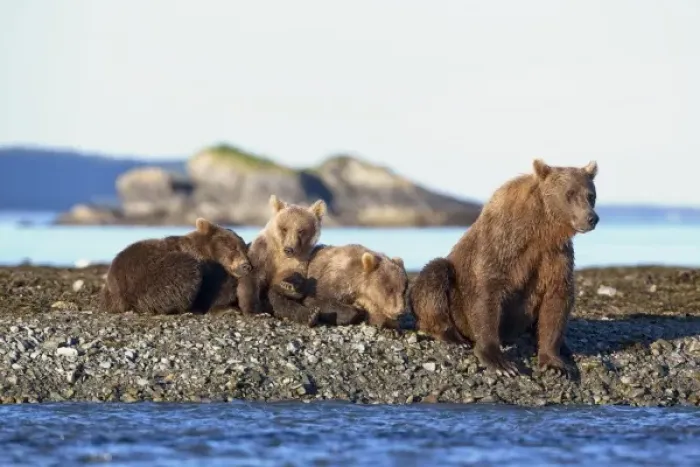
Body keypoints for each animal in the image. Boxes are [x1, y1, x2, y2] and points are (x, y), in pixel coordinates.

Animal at [100, 217, 258, 315]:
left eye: (244, 249)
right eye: (232, 247)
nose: (246, 266)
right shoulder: (208, 270)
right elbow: (212, 292)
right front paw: (227, 308)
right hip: (150, 276)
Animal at [247, 194, 327, 326]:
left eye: (301, 230)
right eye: (284, 228)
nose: (289, 249)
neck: (280, 255)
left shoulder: (298, 262)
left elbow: (288, 278)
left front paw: (288, 286)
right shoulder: (263, 253)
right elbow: (254, 278)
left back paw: (311, 315)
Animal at [277, 244, 409, 327]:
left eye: (403, 290)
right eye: (388, 289)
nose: (400, 312)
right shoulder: (329, 281)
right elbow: (318, 300)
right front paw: (355, 310)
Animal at [408, 159, 599, 377]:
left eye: (591, 195)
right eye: (569, 193)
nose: (591, 218)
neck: (541, 228)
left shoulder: (554, 255)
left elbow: (558, 296)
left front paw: (554, 363)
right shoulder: (502, 244)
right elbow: (488, 292)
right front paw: (501, 363)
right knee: (435, 275)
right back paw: (451, 336)